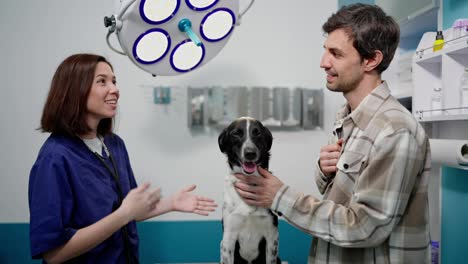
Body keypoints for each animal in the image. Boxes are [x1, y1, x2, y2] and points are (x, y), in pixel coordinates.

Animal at [218, 117, 280, 264]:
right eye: (236, 133)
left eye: (257, 133)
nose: (250, 153)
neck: (249, 182)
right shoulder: (228, 240)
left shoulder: (272, 238)